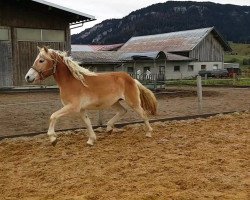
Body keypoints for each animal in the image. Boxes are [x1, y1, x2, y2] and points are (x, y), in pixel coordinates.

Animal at [23, 47, 156, 146]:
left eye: (41, 60)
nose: (28, 77)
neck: (71, 82)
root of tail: (132, 79)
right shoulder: (81, 109)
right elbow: (87, 123)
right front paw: (91, 140)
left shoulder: (73, 107)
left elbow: (53, 116)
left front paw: (53, 139)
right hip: (114, 102)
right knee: (123, 111)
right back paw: (109, 128)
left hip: (133, 102)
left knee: (143, 114)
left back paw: (149, 133)